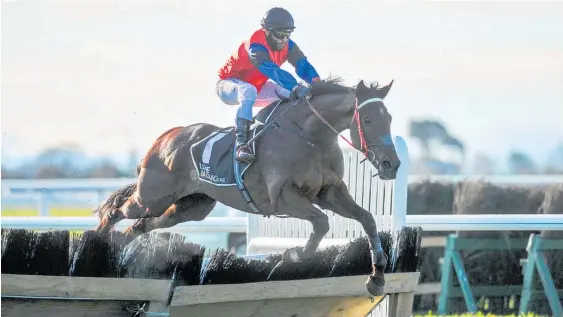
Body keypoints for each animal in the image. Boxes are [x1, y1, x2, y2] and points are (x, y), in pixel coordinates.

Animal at [93, 75, 400, 296]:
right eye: (368, 119)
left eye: (390, 118)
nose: (391, 165)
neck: (310, 136)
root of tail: (164, 138)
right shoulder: (284, 197)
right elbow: (322, 223)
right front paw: (294, 254)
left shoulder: (330, 192)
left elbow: (367, 218)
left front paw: (376, 277)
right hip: (152, 197)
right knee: (117, 212)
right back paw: (96, 244)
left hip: (189, 207)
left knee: (140, 225)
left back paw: (114, 254)